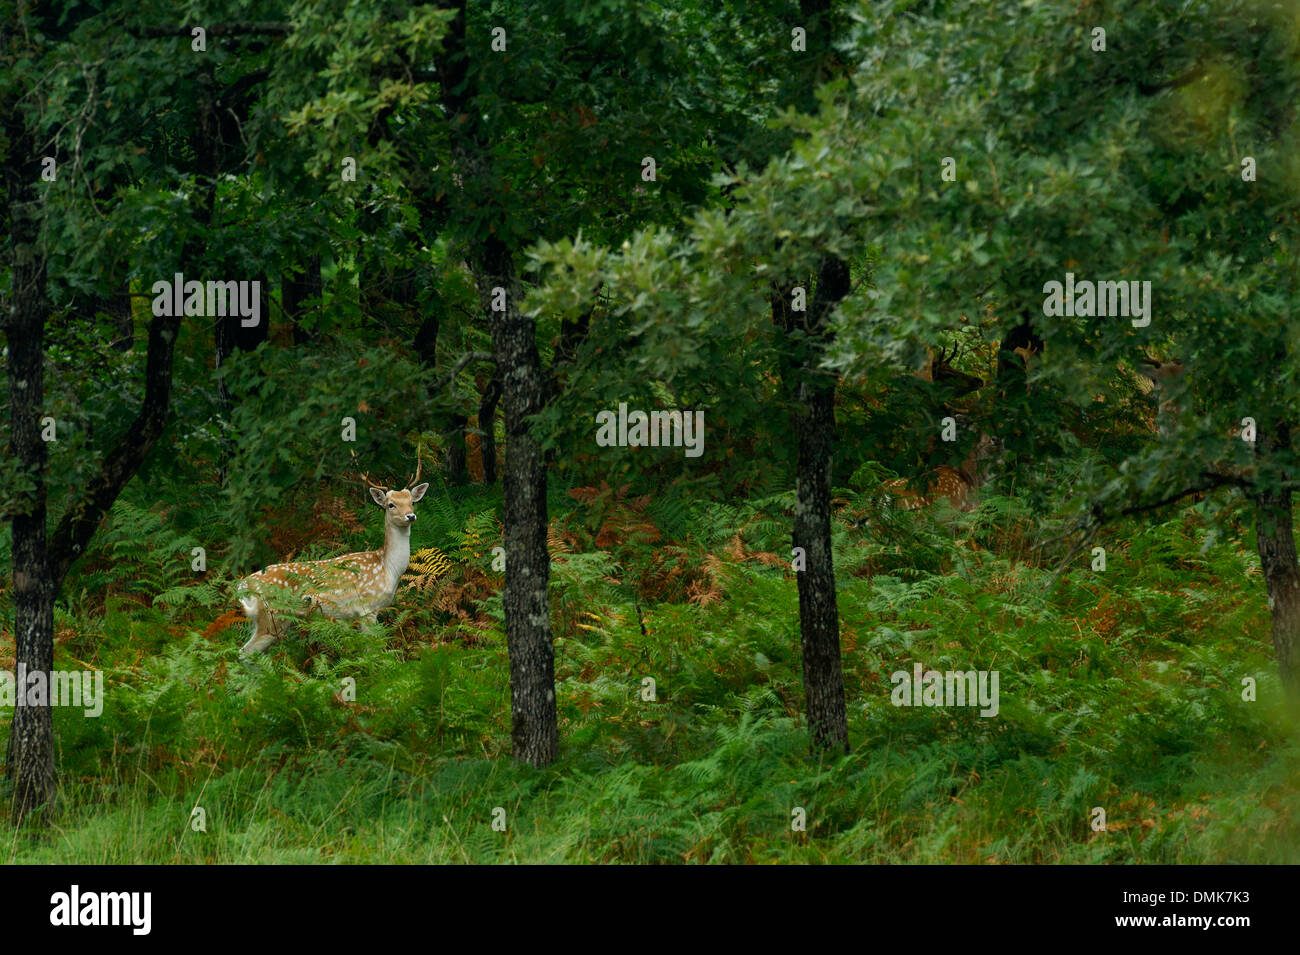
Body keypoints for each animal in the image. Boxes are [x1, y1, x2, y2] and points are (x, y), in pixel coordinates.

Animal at [235, 452, 431, 654]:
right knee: (244, 653)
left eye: (412, 502)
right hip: (272, 615)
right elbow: (371, 650)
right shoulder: (367, 607)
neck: (388, 568)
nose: (410, 516)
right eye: (391, 504)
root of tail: (243, 585)